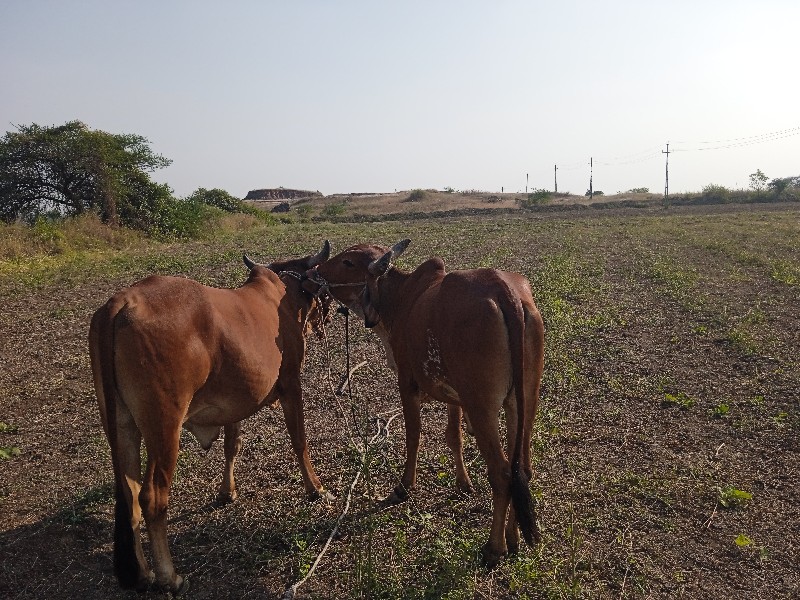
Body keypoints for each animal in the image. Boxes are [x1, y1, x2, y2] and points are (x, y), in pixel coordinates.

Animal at [89, 241, 332, 592]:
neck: (282, 296)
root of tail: (120, 303)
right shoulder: (290, 384)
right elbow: (299, 440)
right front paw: (315, 487)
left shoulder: (234, 401)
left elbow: (232, 445)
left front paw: (227, 491)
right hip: (165, 427)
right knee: (152, 497)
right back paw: (169, 577)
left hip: (121, 425)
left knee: (130, 495)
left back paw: (144, 572)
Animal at [306, 240, 544, 568]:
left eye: (348, 262)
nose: (315, 272)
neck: (400, 299)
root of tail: (504, 291)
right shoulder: (454, 395)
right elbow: (454, 437)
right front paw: (463, 484)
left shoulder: (407, 383)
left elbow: (413, 437)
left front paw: (404, 487)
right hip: (524, 401)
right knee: (522, 468)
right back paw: (514, 537)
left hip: (482, 407)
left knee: (502, 473)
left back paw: (494, 547)